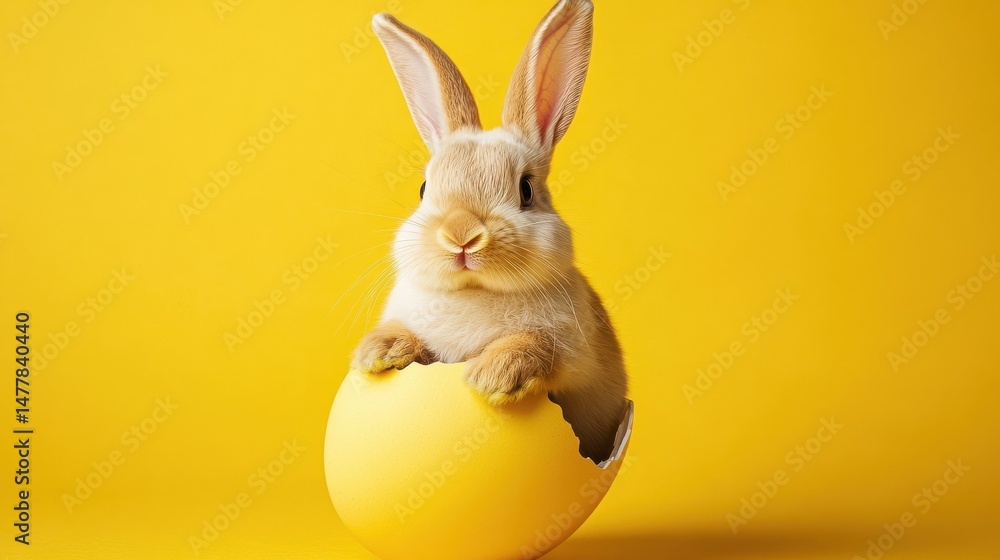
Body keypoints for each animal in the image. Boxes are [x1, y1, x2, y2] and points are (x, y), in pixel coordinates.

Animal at [353, 0, 628, 464]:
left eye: (526, 190)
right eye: (424, 189)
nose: (461, 235)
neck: (474, 292)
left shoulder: (573, 351)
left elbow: (536, 345)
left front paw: (492, 377)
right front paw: (377, 352)